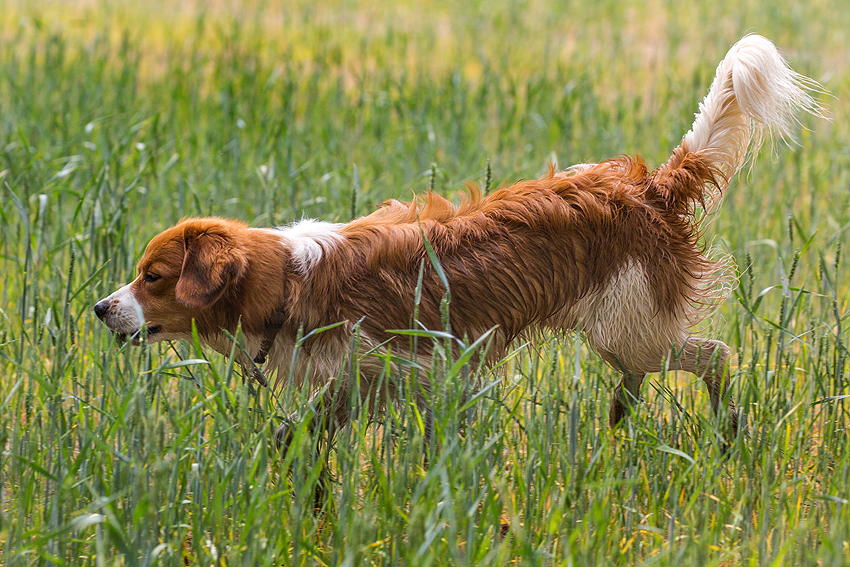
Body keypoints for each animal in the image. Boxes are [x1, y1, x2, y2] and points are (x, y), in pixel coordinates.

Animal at [97, 35, 820, 444]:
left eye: (153, 277)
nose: (100, 307)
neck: (289, 283)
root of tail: (647, 187)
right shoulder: (352, 387)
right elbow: (297, 441)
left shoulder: (436, 372)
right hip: (623, 329)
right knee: (648, 375)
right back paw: (620, 423)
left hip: (630, 323)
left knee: (715, 356)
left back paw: (727, 432)